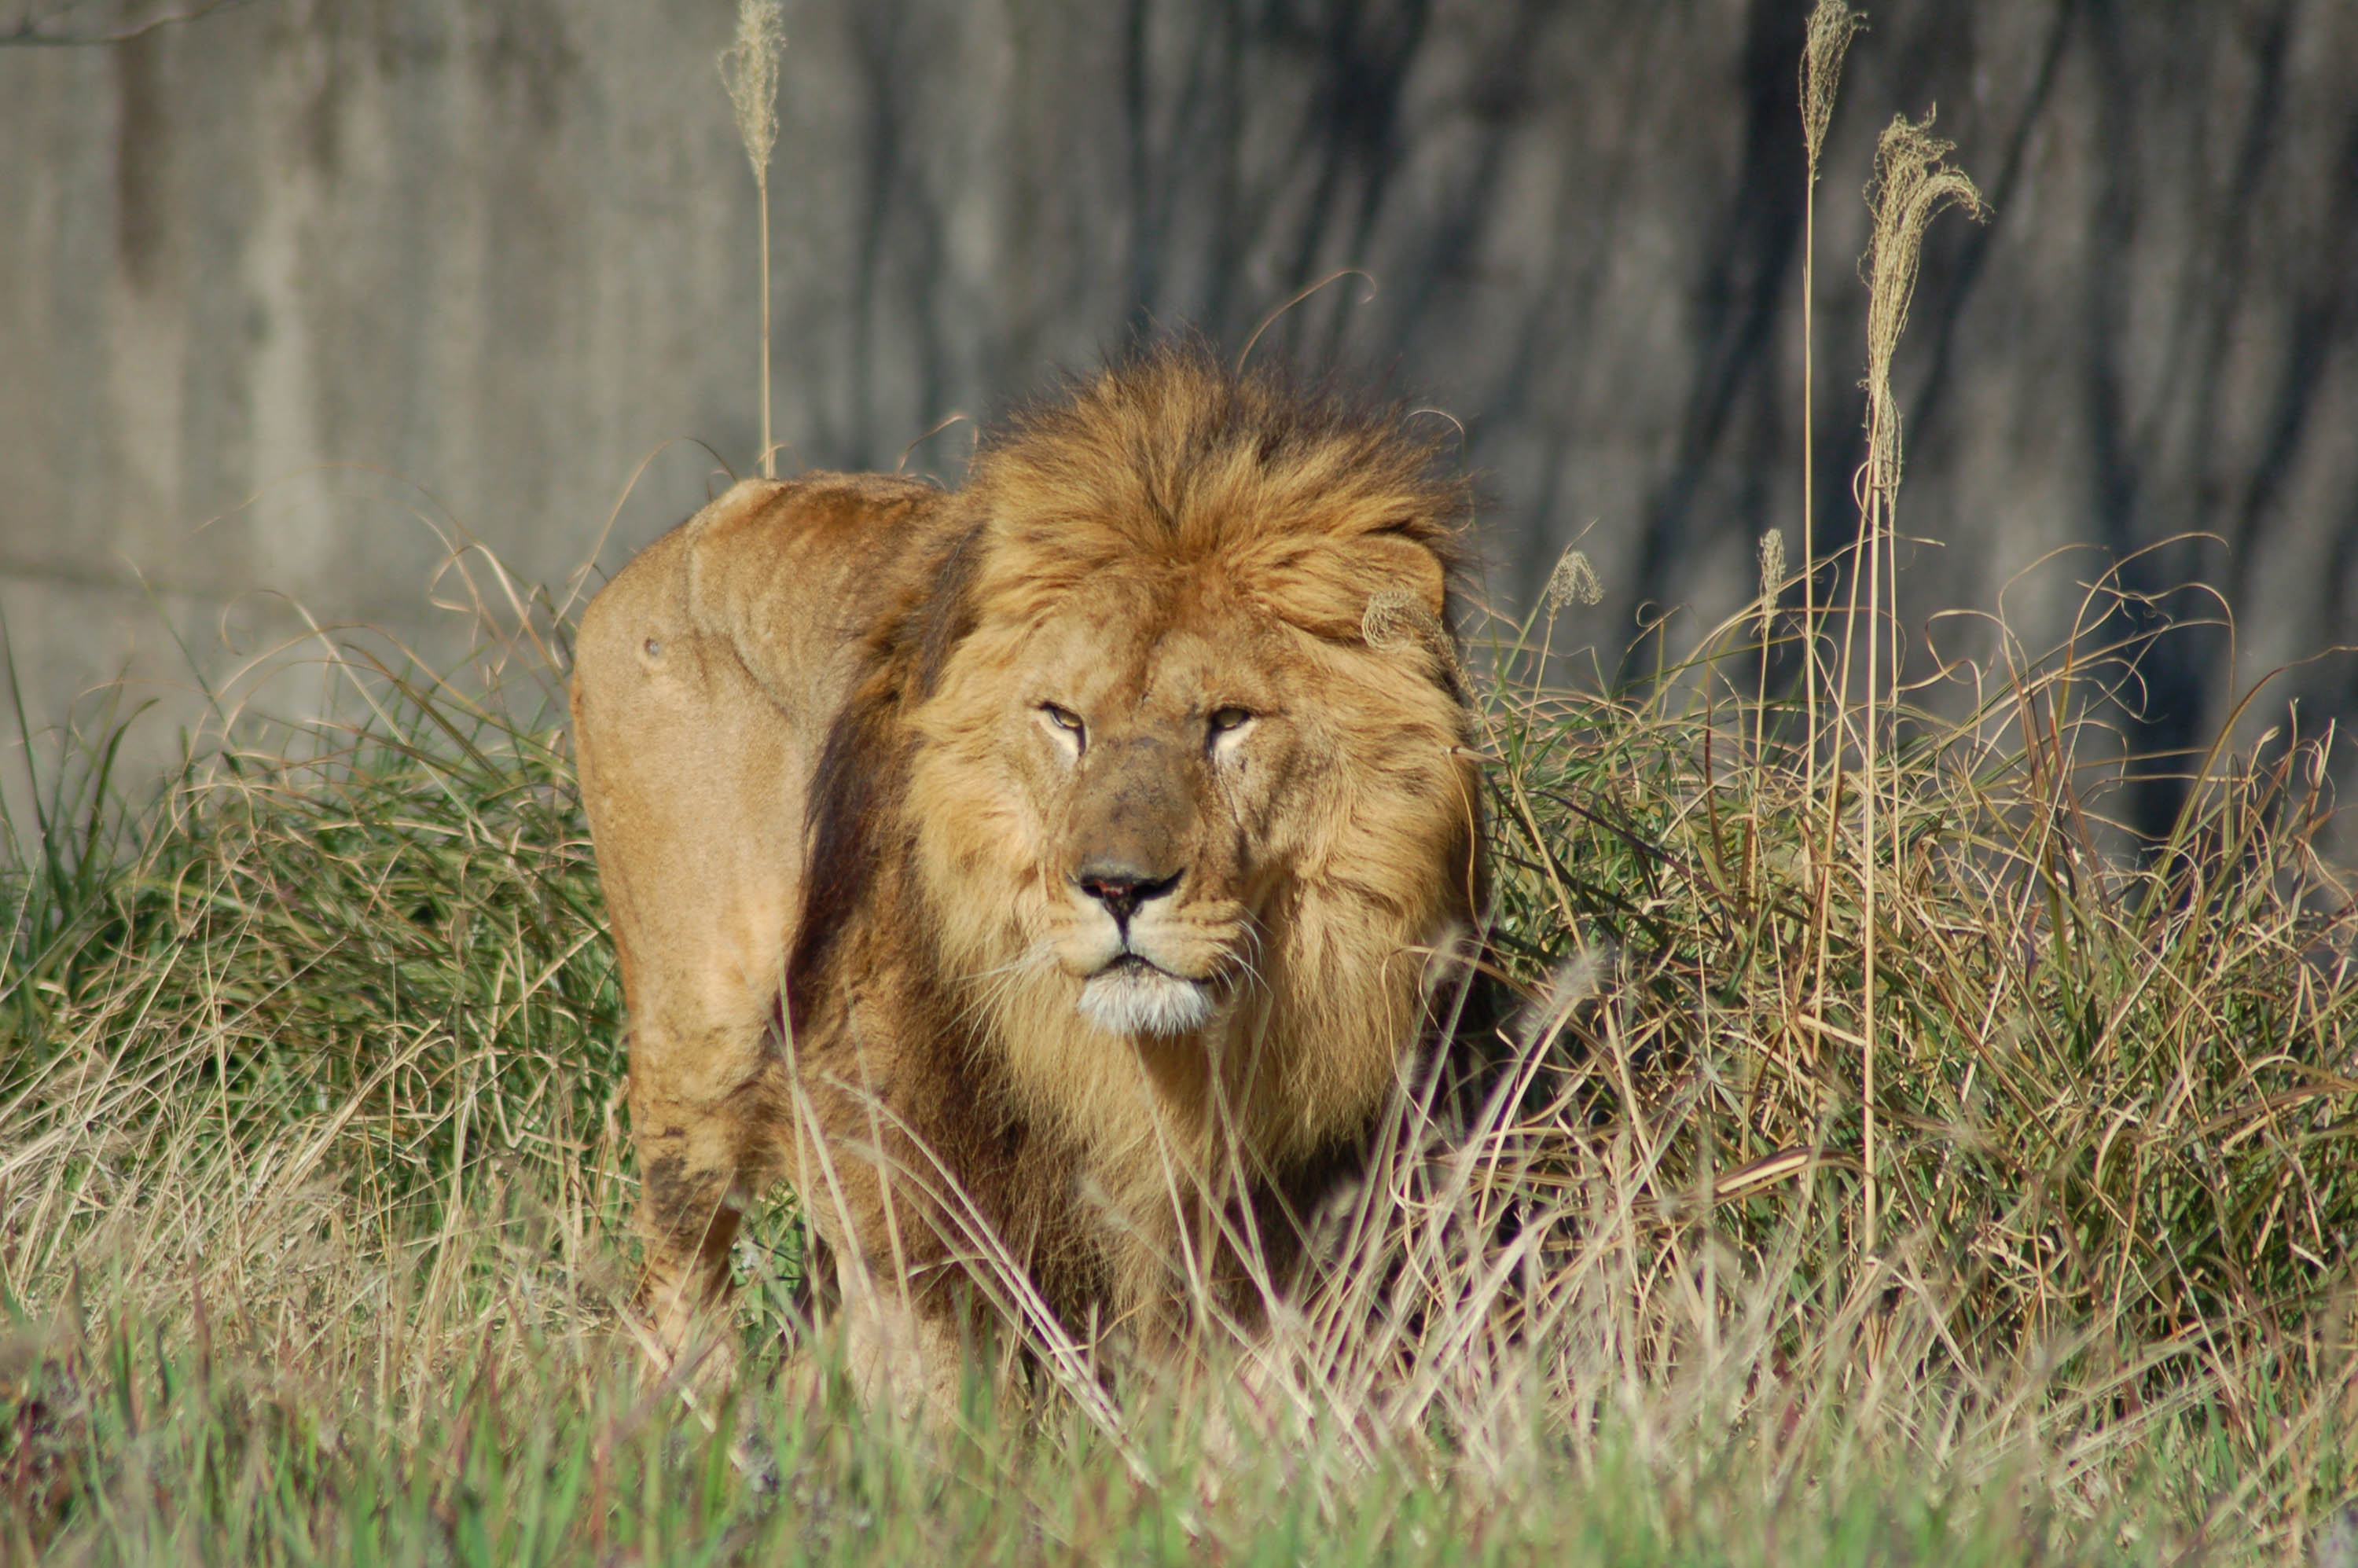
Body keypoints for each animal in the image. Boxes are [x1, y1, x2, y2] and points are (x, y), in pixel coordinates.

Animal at [571, 342, 1481, 1405]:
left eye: (1229, 721)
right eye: (1064, 720)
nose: (1120, 889)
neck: (1125, 1070)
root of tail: (653, 556)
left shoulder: (1273, 1219)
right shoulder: (901, 1155)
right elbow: (934, 1382)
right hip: (697, 1051)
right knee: (684, 1287)